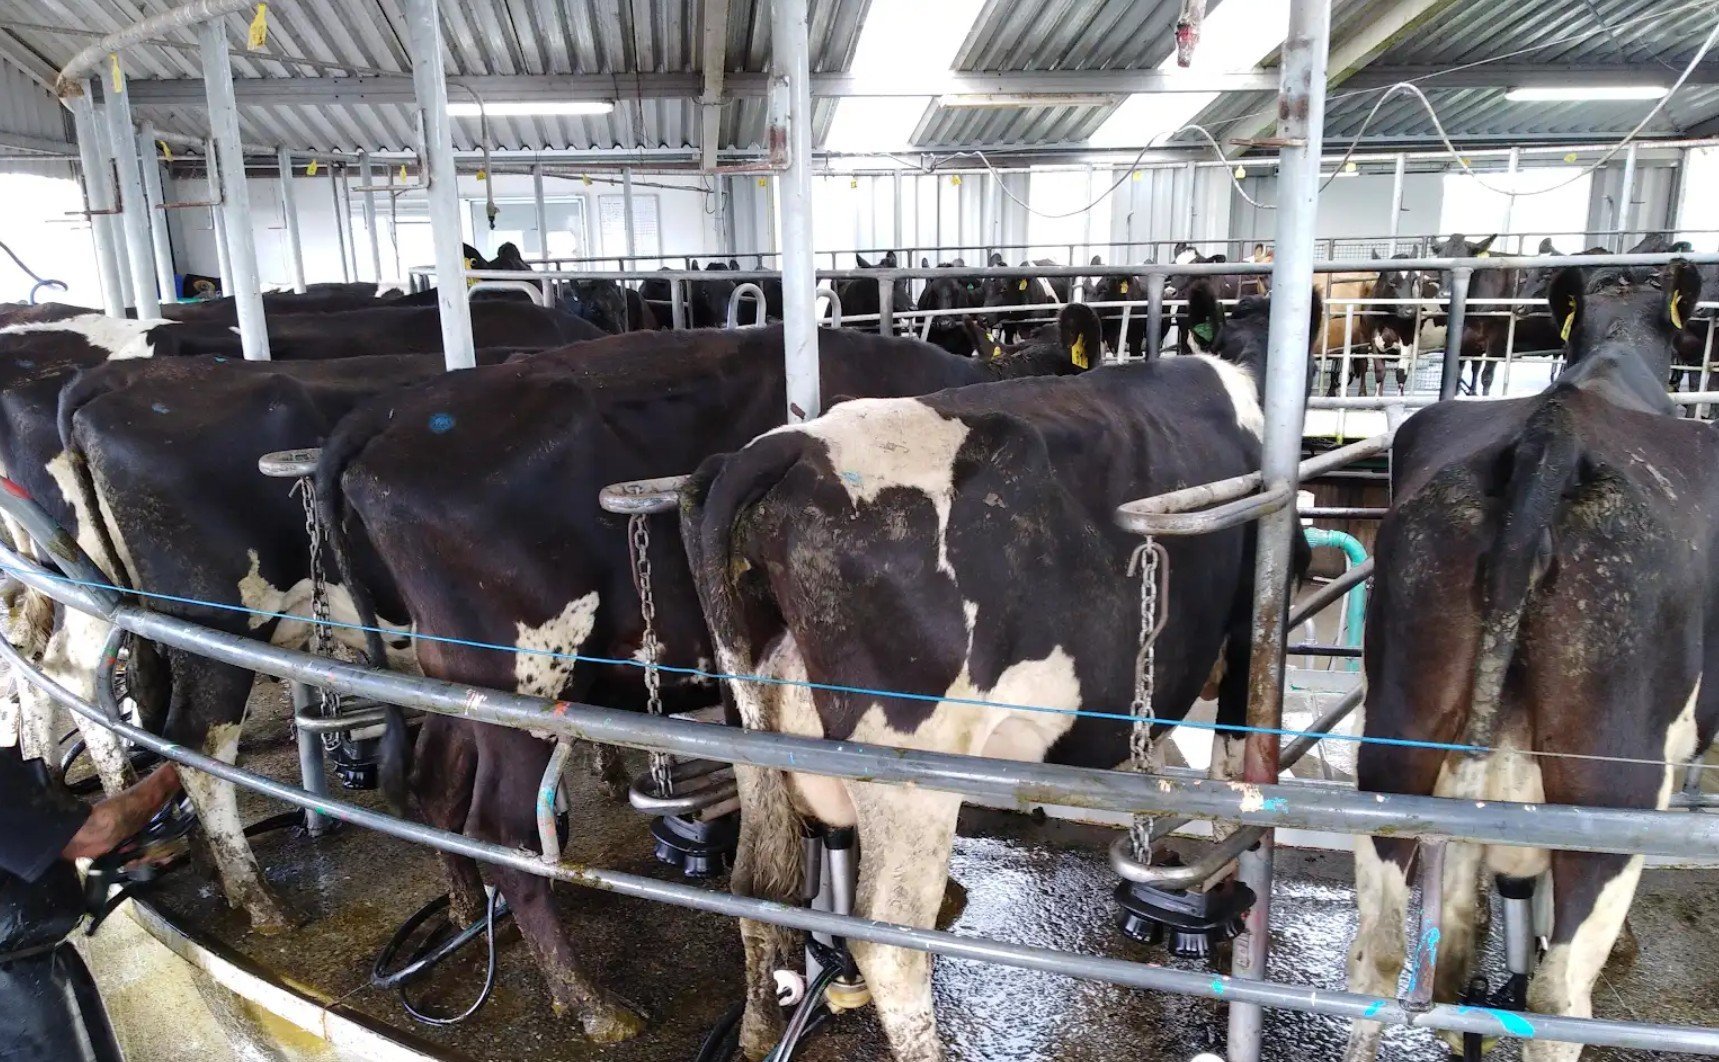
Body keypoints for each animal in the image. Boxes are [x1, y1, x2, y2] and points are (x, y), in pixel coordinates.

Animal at [315, 316, 1103, 1040]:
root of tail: (397, 412)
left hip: (454, 676)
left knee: (434, 784)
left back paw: (460, 911)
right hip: (524, 680)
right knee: (505, 832)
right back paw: (589, 1002)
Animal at [683, 290, 1318, 1062]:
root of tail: (787, 446)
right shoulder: (1246, 639)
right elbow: (1234, 787)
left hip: (752, 736)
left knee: (755, 885)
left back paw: (753, 1034)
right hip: (908, 769)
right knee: (889, 941)